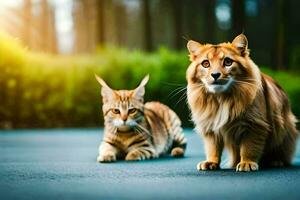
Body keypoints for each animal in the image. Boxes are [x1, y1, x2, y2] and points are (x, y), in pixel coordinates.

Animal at [185, 33, 298, 171]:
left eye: (228, 62)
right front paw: (211, 162)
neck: (221, 99)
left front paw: (247, 163)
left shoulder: (254, 124)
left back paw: (276, 161)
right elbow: (213, 148)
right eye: (205, 64)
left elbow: (249, 147)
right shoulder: (210, 126)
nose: (215, 75)